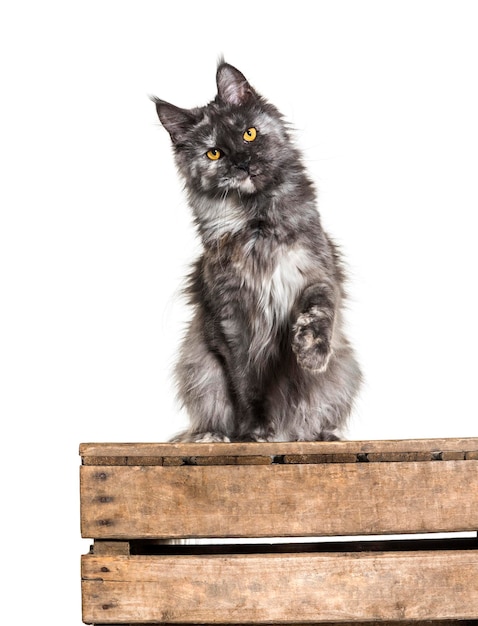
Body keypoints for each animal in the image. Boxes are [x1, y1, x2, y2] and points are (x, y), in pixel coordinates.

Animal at [151, 61, 360, 442]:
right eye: (214, 153)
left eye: (249, 134)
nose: (242, 163)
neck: (257, 224)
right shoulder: (229, 319)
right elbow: (245, 385)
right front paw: (255, 431)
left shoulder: (316, 274)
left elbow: (319, 310)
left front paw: (310, 351)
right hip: (197, 371)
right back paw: (213, 436)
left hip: (346, 370)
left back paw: (320, 435)